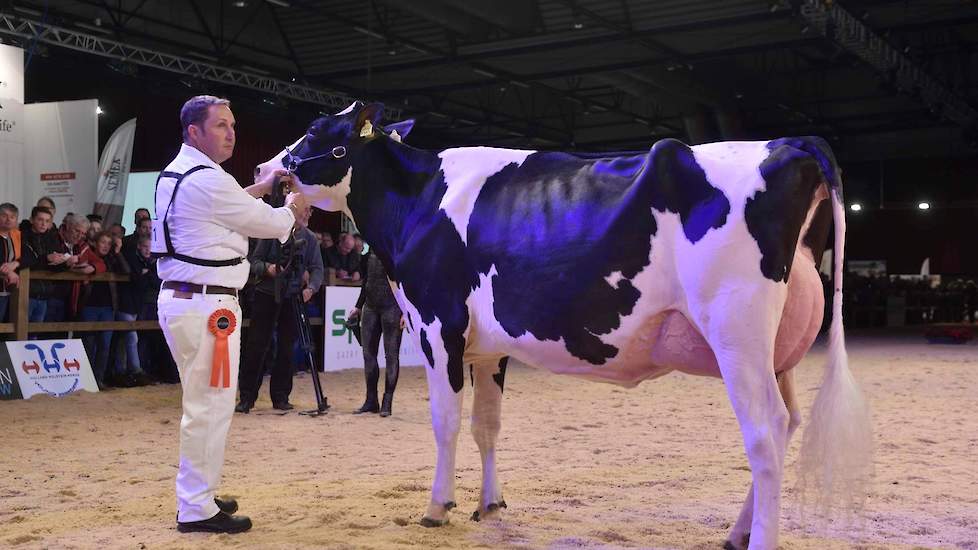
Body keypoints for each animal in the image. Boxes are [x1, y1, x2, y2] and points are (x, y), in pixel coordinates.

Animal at [258, 102, 868, 548]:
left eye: (314, 130)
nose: (263, 169)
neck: (419, 200)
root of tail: (792, 144)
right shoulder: (488, 347)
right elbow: (486, 425)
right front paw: (490, 504)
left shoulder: (437, 328)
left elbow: (445, 423)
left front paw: (437, 506)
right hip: (777, 351)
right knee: (788, 423)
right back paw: (738, 532)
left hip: (736, 334)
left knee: (765, 432)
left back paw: (757, 539)